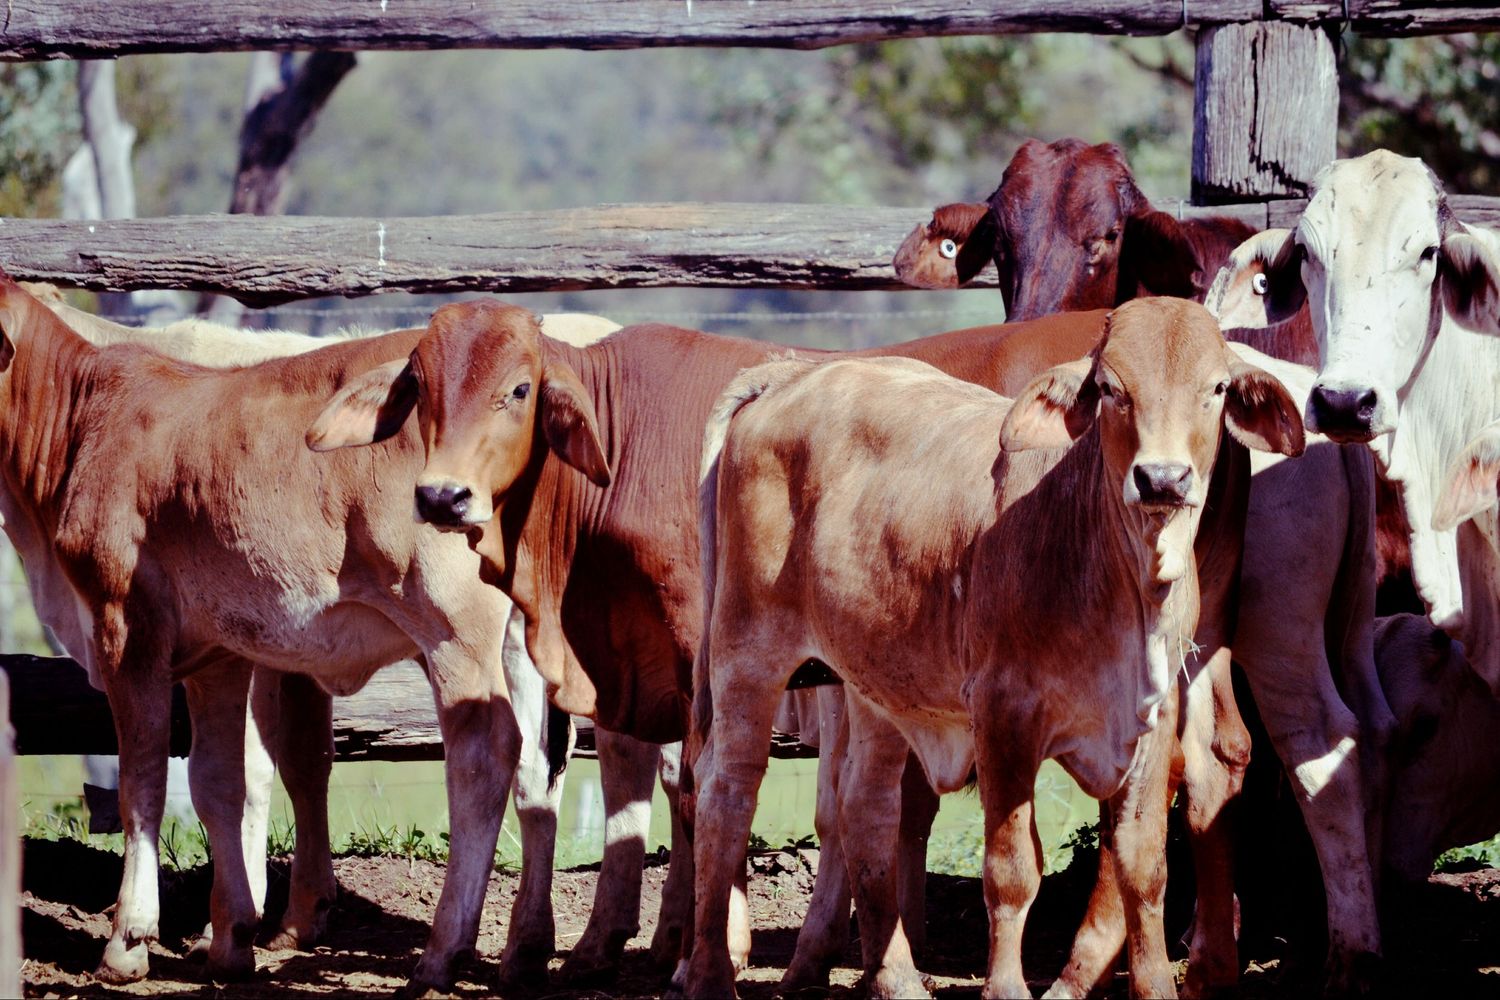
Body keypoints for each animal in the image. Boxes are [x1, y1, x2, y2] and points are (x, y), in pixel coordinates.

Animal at [685, 297, 1304, 998]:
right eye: (1110, 388)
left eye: (1218, 388)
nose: (1163, 478)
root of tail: (793, 375)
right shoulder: (1005, 716)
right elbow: (1012, 871)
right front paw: (1006, 987)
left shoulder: (1153, 715)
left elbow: (1144, 868)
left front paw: (1155, 987)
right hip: (746, 652)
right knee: (726, 793)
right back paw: (709, 972)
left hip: (873, 681)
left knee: (865, 808)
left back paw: (897, 979)